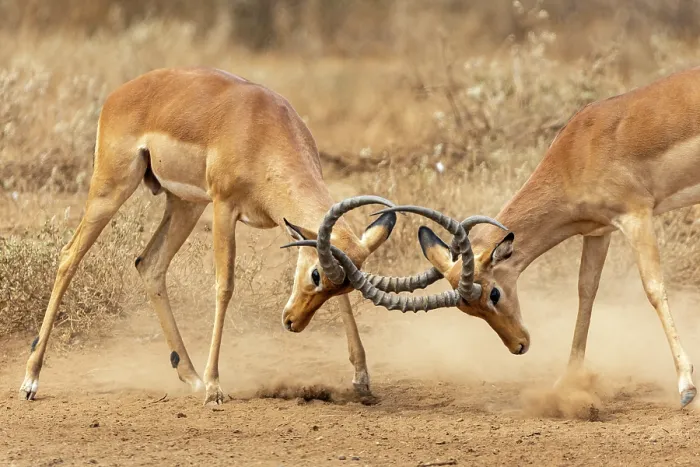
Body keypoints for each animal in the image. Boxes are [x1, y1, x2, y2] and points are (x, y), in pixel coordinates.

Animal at [18, 66, 441, 405]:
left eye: (339, 287)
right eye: (315, 275)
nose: (292, 322)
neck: (261, 128)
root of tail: (120, 92)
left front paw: (362, 379)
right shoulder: (224, 209)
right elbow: (224, 286)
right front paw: (215, 387)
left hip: (185, 204)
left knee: (149, 264)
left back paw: (188, 375)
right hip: (113, 188)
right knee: (69, 256)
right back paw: (31, 381)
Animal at [390, 66, 700, 408]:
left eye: (493, 293)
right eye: (466, 308)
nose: (519, 345)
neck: (579, 149)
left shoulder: (636, 217)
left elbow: (653, 289)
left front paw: (686, 386)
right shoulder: (598, 232)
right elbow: (586, 294)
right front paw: (566, 384)